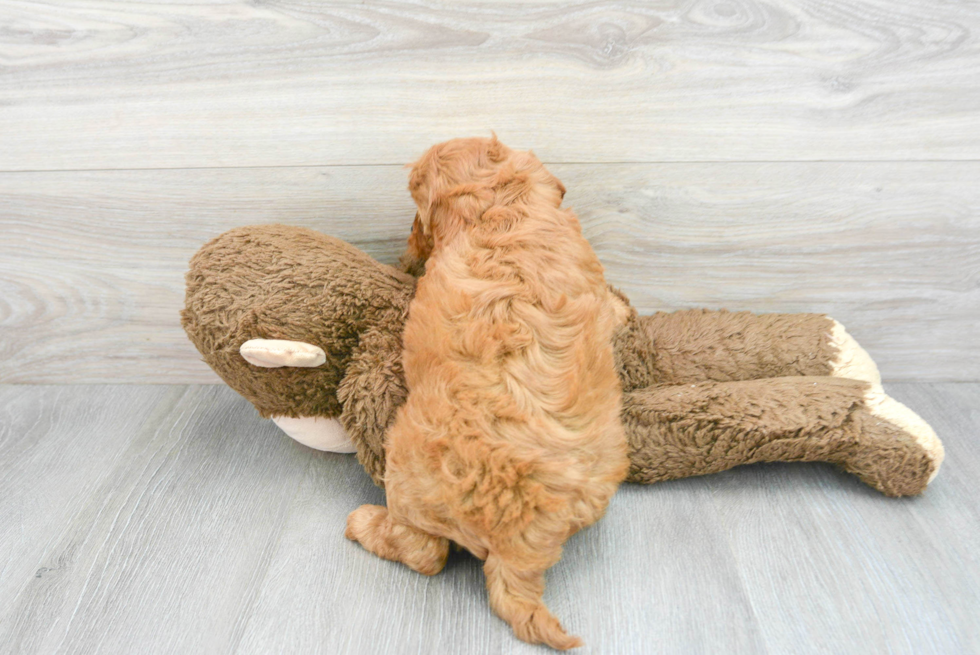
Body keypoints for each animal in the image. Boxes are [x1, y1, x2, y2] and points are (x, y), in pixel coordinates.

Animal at [348, 136, 632, 648]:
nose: (407, 247)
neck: (503, 205)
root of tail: (514, 548)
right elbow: (614, 308)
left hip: (407, 479)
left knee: (424, 553)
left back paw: (362, 524)